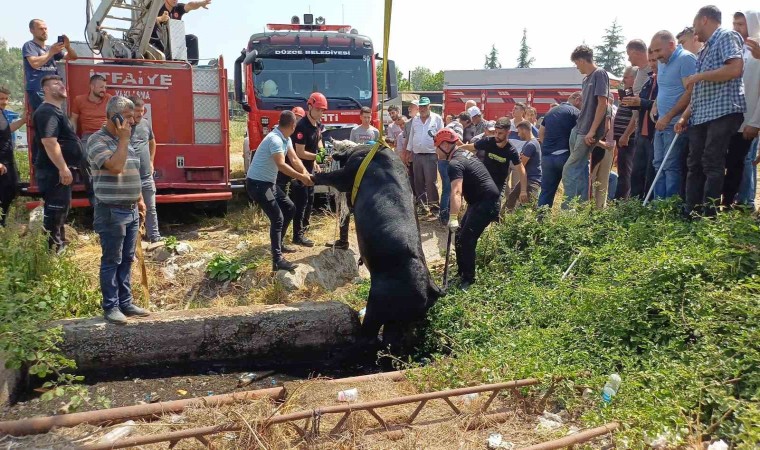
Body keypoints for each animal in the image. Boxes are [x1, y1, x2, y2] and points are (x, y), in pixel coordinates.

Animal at [312, 144, 442, 344]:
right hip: (405, 319)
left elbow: (334, 177)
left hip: (377, 303)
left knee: (370, 333)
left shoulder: (347, 173)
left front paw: (312, 176)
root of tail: (429, 289)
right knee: (395, 337)